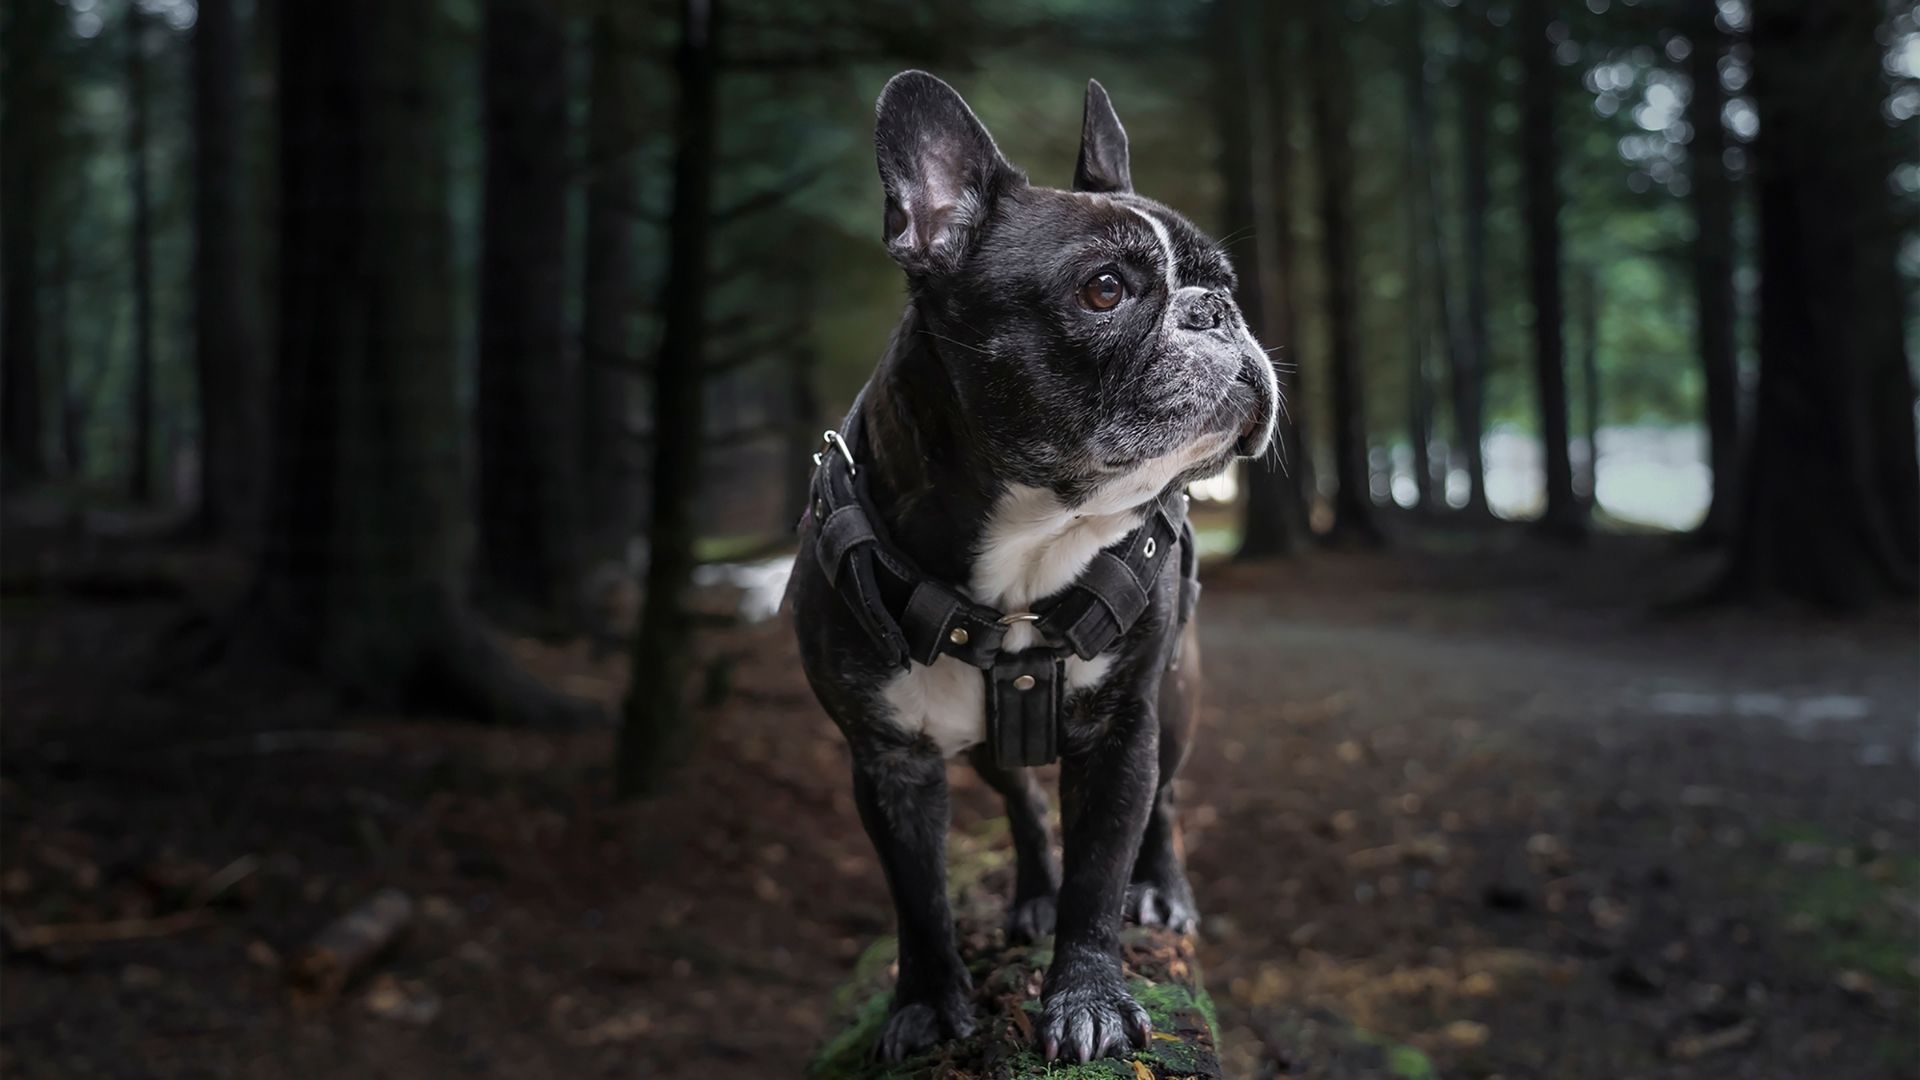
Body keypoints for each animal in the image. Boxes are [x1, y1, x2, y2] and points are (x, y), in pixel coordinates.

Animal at [787, 73, 1282, 1060]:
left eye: (1223, 284)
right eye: (1104, 290)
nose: (1216, 312)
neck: (1029, 546)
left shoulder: (1126, 730)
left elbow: (1102, 872)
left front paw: (1089, 998)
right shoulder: (888, 761)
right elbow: (919, 897)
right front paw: (926, 1005)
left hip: (1178, 694)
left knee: (1167, 804)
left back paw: (1160, 889)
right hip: (984, 749)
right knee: (1020, 798)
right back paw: (1032, 894)